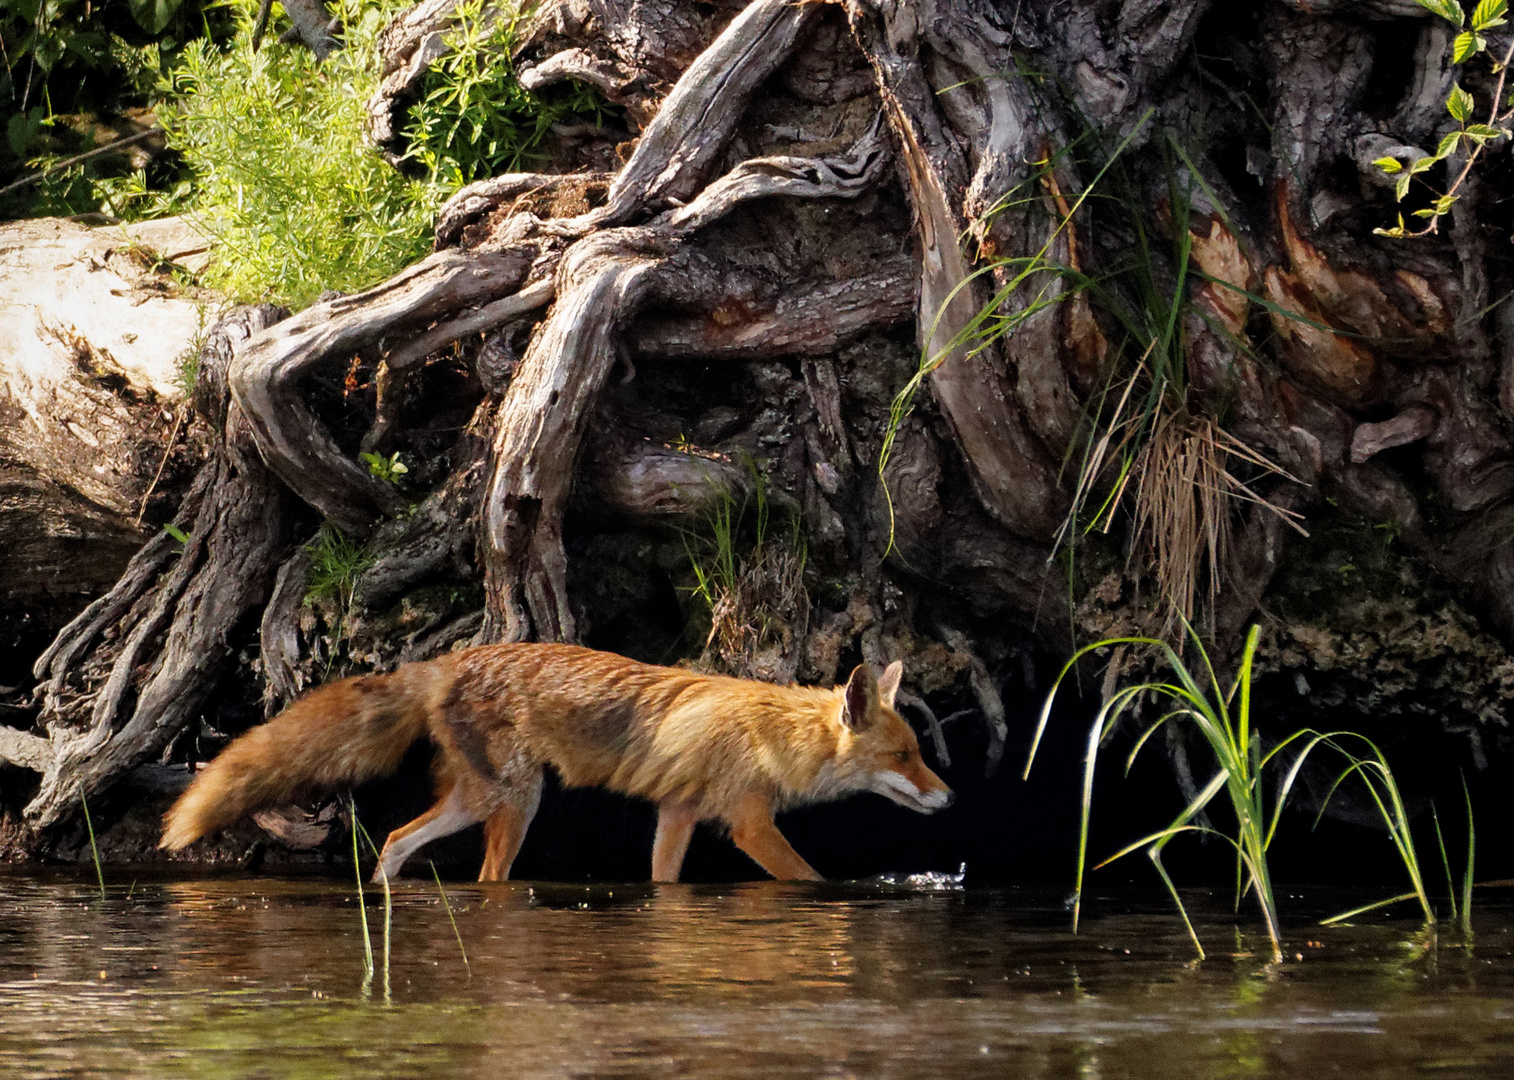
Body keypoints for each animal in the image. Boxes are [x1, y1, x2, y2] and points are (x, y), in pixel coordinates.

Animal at [159, 645, 950, 878]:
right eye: (905, 755)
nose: (951, 797)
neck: (773, 735)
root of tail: (447, 661)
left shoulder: (677, 815)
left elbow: (664, 883)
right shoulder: (748, 825)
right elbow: (812, 881)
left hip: (479, 802)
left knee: (395, 841)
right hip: (511, 803)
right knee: (482, 876)